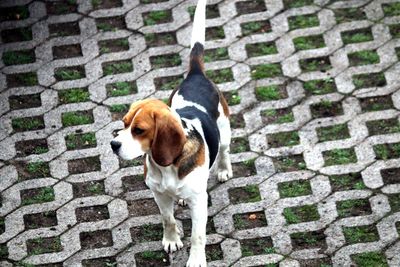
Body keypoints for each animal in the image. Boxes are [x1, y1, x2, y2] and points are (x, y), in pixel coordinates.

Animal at [111, 1, 233, 266]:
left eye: (139, 130)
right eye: (123, 123)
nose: (113, 145)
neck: (167, 165)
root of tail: (195, 74)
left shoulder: (200, 203)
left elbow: (198, 235)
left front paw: (196, 260)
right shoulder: (158, 193)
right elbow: (167, 219)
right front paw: (171, 239)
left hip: (225, 131)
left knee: (224, 151)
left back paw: (223, 170)